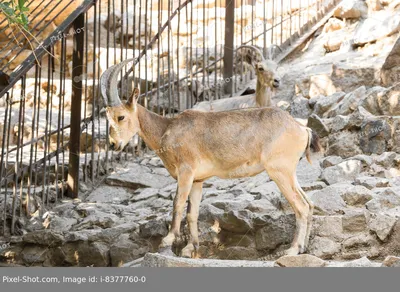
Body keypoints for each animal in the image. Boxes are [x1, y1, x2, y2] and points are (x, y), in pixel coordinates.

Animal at [101, 57, 322, 258]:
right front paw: (190, 248)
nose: (113, 144)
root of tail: (302, 129)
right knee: (309, 204)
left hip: (279, 171)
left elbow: (178, 204)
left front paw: (168, 239)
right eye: (107, 117)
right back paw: (304, 247)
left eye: (121, 116)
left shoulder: (186, 171)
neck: (166, 129)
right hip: (289, 172)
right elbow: (193, 213)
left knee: (301, 206)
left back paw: (292, 249)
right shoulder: (198, 180)